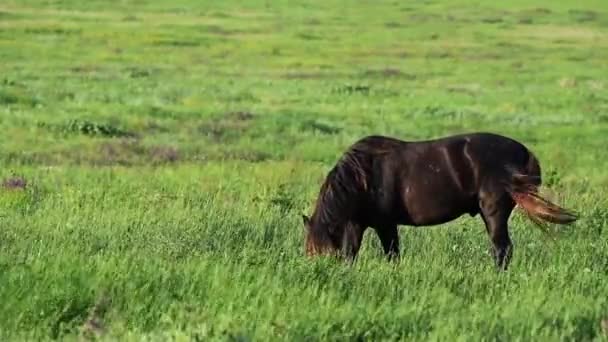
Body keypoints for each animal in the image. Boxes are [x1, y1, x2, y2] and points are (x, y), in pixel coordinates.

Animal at [302, 133, 580, 270]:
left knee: (502, 250)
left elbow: (392, 255)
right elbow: (351, 253)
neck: (363, 177)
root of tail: (523, 151)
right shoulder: (358, 223)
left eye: (319, 252)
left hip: (494, 212)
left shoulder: (385, 225)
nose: (318, 273)